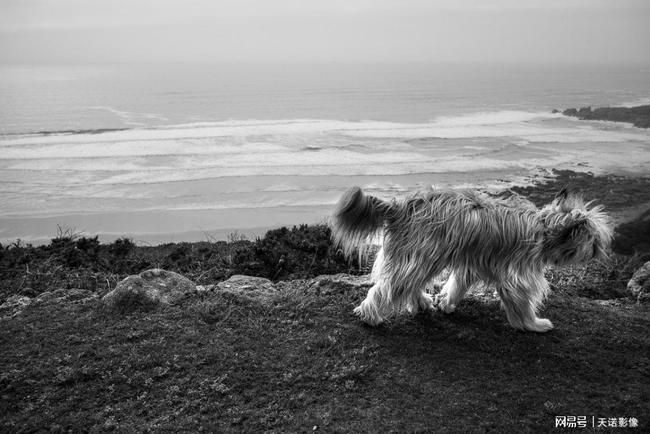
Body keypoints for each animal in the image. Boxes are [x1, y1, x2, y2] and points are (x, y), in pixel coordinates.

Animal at [332, 186, 612, 332]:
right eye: (594, 240)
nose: (600, 251)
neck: (544, 229)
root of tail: (402, 205)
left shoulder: (472, 263)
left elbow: (458, 284)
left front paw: (446, 303)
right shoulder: (517, 275)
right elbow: (521, 300)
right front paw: (533, 324)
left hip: (421, 255)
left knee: (408, 282)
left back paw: (421, 302)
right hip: (423, 253)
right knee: (389, 287)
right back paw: (371, 315)